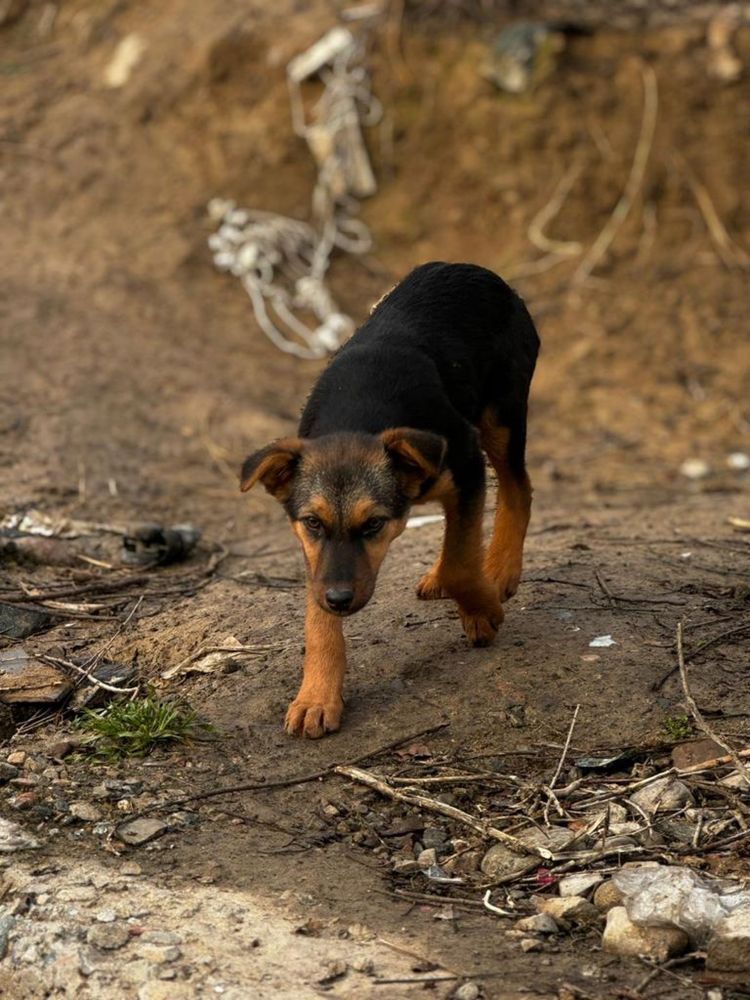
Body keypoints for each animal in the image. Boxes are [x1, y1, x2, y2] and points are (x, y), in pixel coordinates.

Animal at [241, 262, 540, 740]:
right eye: (313, 524)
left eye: (373, 525)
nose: (340, 600)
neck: (357, 413)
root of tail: (473, 270)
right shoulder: (315, 553)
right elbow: (317, 618)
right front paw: (317, 696)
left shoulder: (466, 462)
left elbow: (461, 563)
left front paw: (483, 610)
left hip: (501, 417)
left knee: (517, 489)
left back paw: (499, 571)